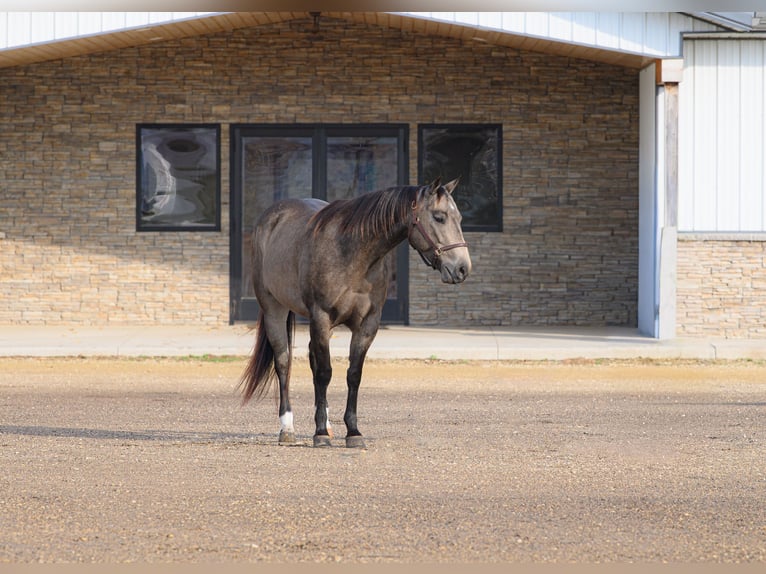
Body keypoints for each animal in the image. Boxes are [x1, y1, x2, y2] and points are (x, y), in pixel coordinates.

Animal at [239, 177, 471, 448]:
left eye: (460, 217)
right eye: (439, 217)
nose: (462, 268)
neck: (352, 253)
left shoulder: (367, 324)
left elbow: (353, 374)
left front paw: (352, 431)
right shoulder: (321, 317)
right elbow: (325, 373)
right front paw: (319, 434)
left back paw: (326, 423)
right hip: (274, 310)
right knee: (284, 362)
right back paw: (288, 427)